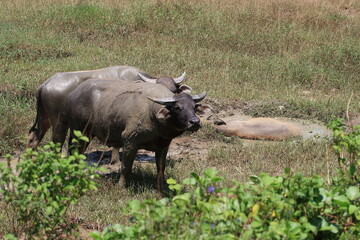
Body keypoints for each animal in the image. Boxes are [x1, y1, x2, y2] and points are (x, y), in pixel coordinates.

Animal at [27, 64, 191, 153]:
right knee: (57, 142)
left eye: (174, 90)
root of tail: (46, 83)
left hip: (44, 119)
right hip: (59, 123)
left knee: (33, 138)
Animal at [66, 79, 207, 194]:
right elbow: (126, 166)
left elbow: (161, 168)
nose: (195, 122)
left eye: (194, 106)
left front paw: (162, 188)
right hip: (79, 133)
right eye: (177, 107)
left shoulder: (163, 146)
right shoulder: (130, 141)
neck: (152, 115)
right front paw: (121, 186)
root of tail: (73, 94)